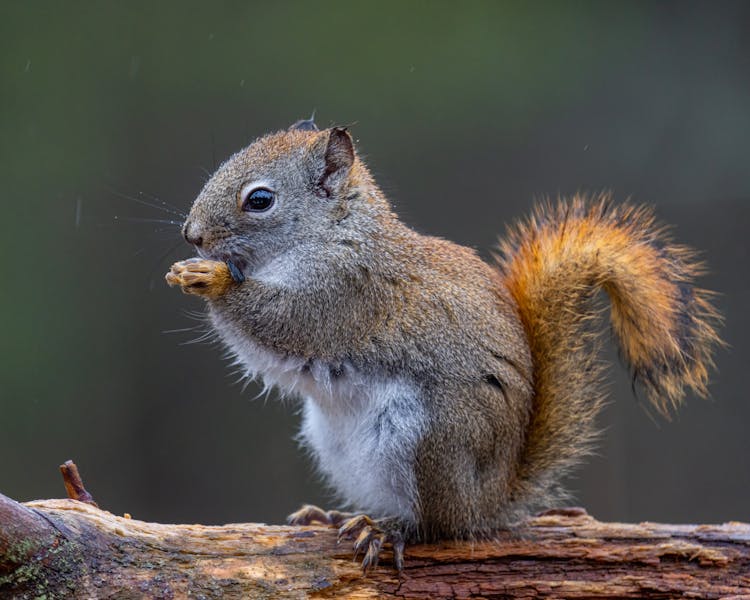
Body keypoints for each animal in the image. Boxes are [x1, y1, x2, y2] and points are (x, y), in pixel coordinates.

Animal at [163, 117, 724, 572]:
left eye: (260, 199)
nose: (191, 235)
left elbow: (282, 321)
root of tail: (491, 500)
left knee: (439, 528)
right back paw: (336, 516)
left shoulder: (344, 295)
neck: (332, 235)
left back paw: (386, 529)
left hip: (431, 439)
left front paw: (211, 279)